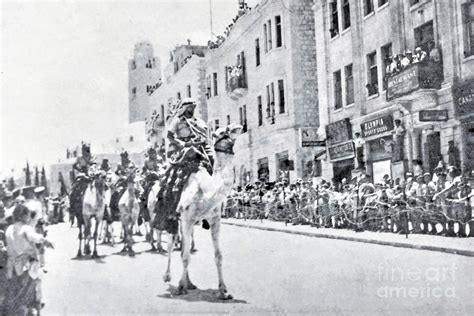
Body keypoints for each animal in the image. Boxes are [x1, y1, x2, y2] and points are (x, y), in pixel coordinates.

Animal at [164, 122, 244, 300]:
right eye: (220, 132)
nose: (238, 126)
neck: (207, 192)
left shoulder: (215, 221)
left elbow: (218, 256)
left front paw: (224, 291)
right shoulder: (186, 219)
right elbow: (186, 256)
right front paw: (180, 288)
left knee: (183, 247)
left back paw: (190, 283)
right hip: (174, 218)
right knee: (172, 245)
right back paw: (168, 277)